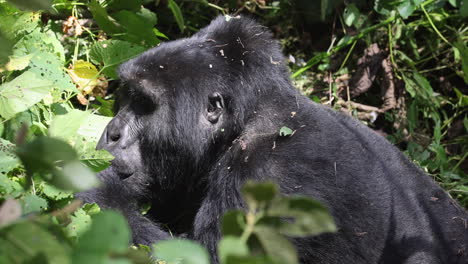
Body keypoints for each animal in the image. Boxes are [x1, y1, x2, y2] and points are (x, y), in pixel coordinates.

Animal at [77, 15, 468, 262]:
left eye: (145, 104)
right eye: (126, 96)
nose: (112, 132)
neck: (249, 117)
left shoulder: (264, 174)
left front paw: (95, 186)